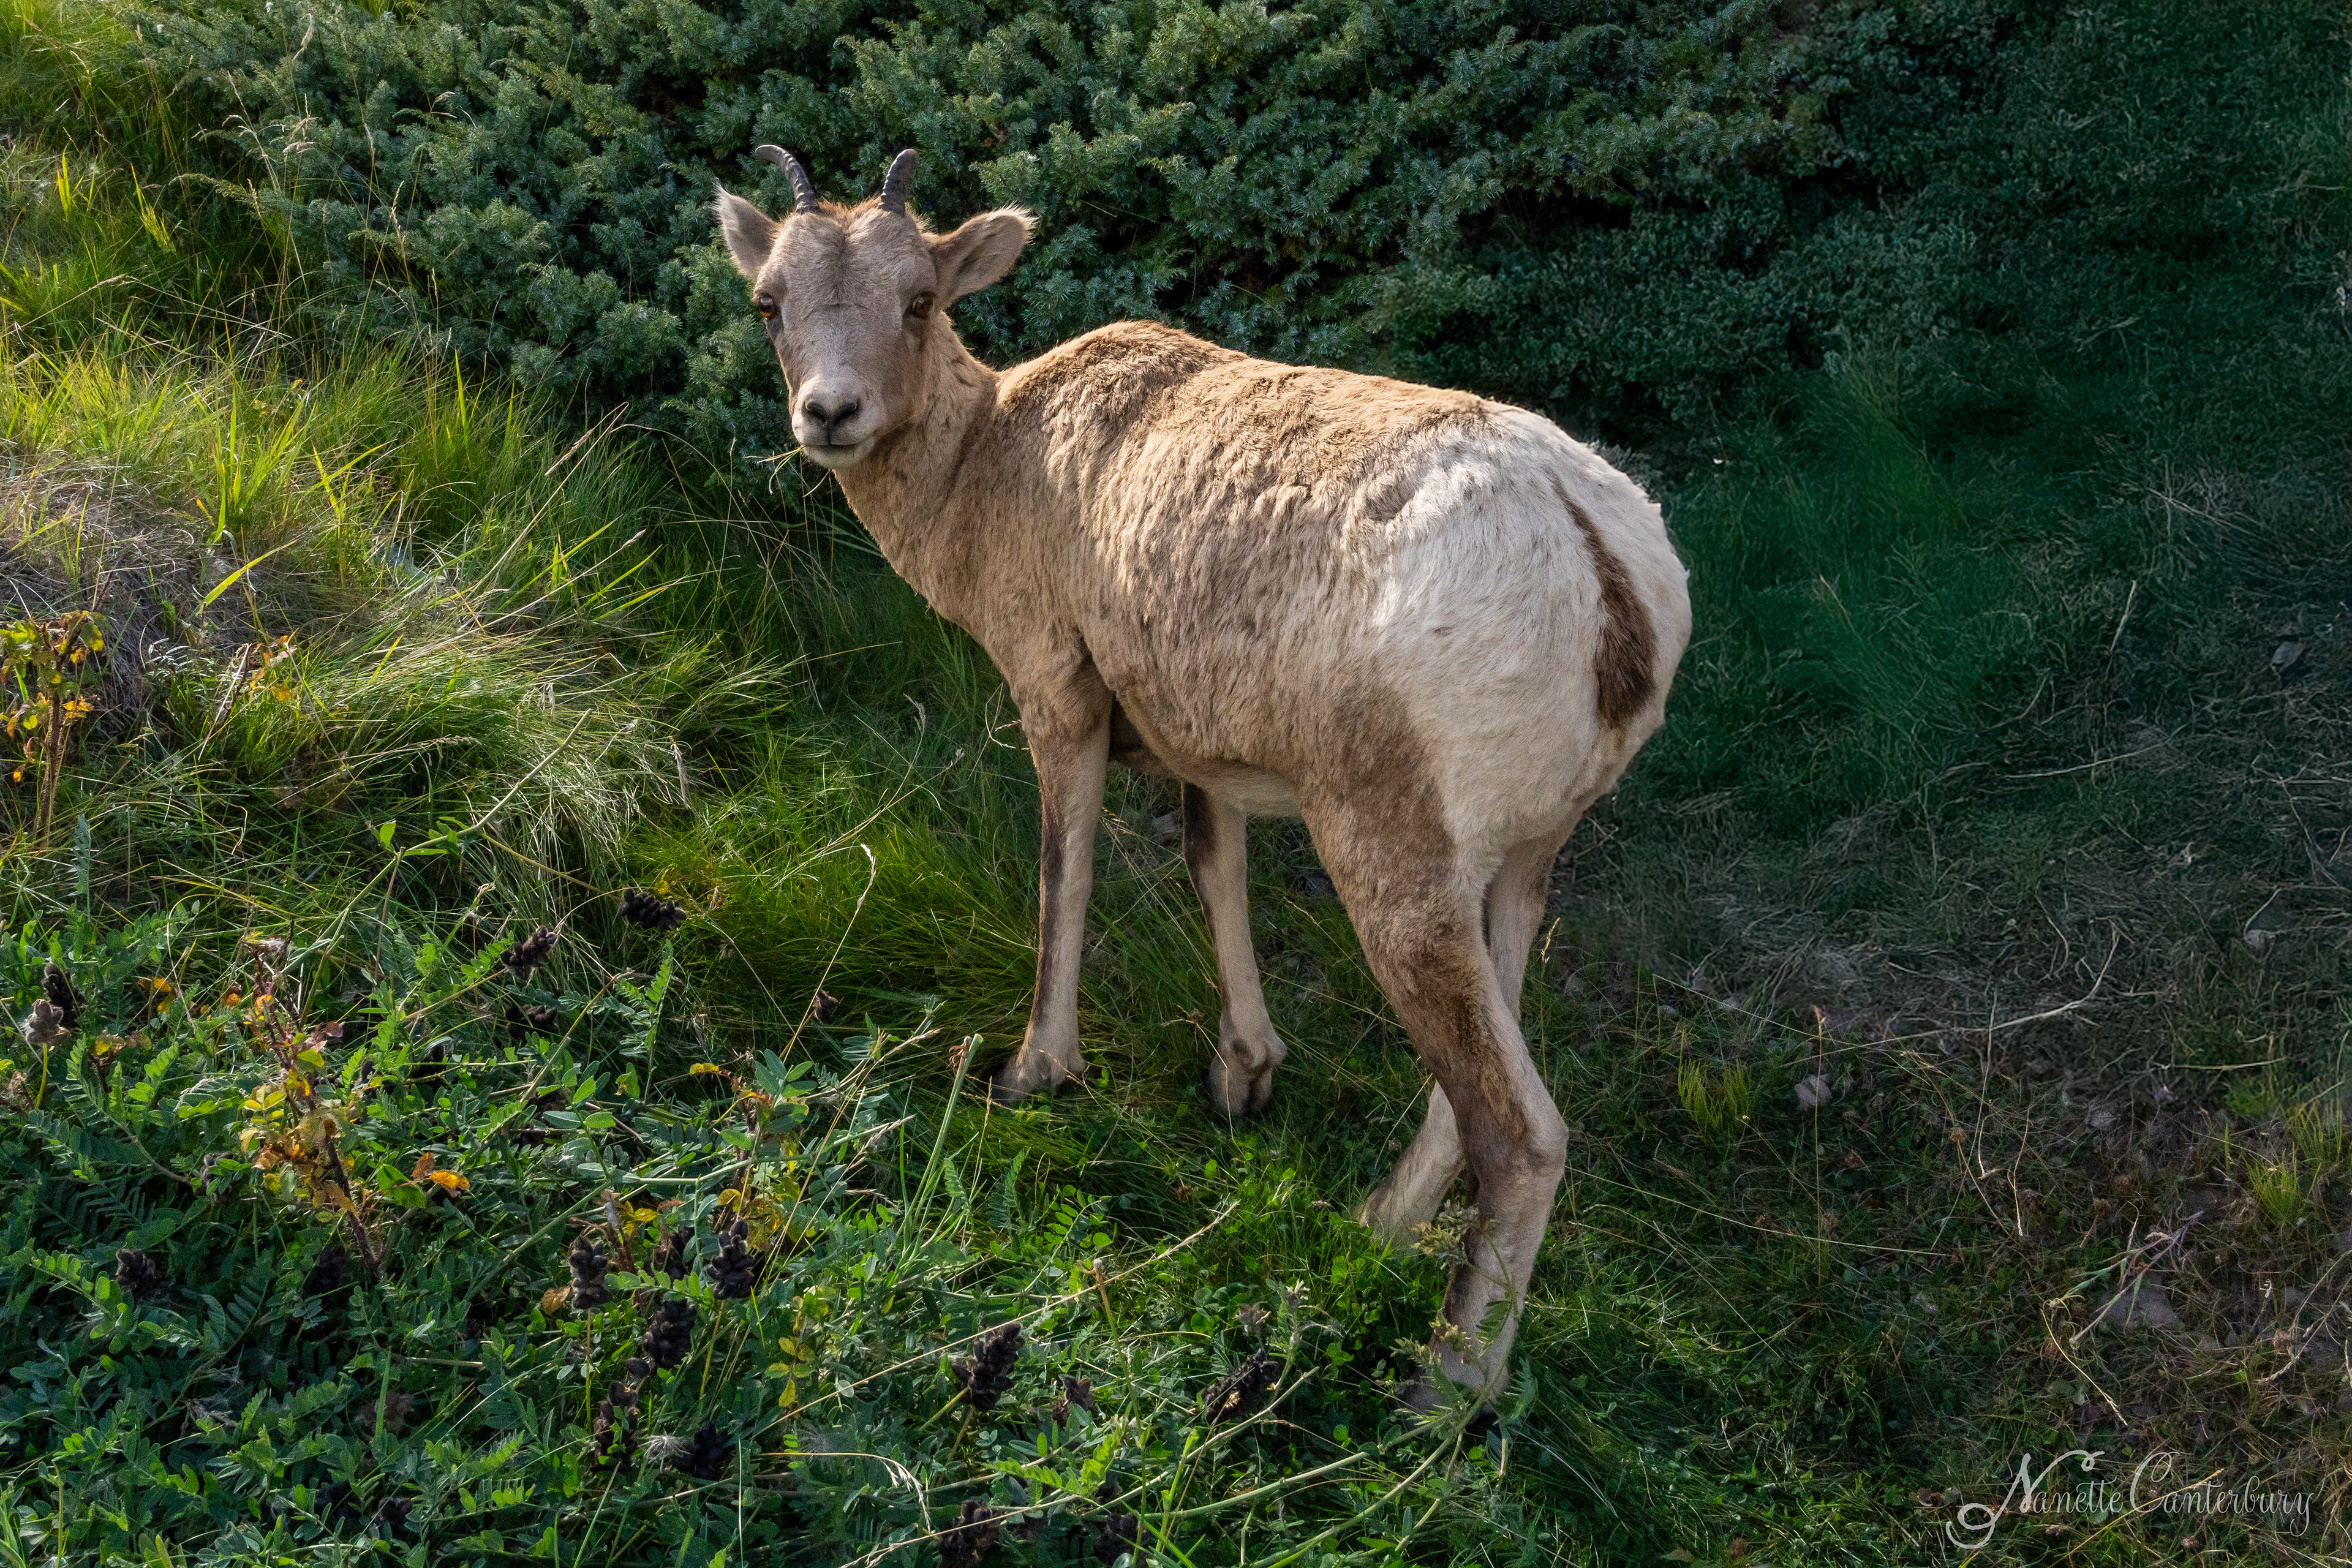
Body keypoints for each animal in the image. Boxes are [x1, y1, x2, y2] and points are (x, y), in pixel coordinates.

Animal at [714, 148, 1692, 1404]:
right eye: (769, 303)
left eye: (920, 298)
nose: (828, 415)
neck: (989, 468)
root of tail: (1607, 572)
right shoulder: (1201, 743)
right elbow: (1210, 866)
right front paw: (1244, 1078)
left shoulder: (1058, 690)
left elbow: (1066, 874)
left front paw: (1034, 1073)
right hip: (1522, 862)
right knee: (1481, 1071)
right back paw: (1371, 1225)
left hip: (1395, 860)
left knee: (1521, 1133)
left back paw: (1441, 1396)